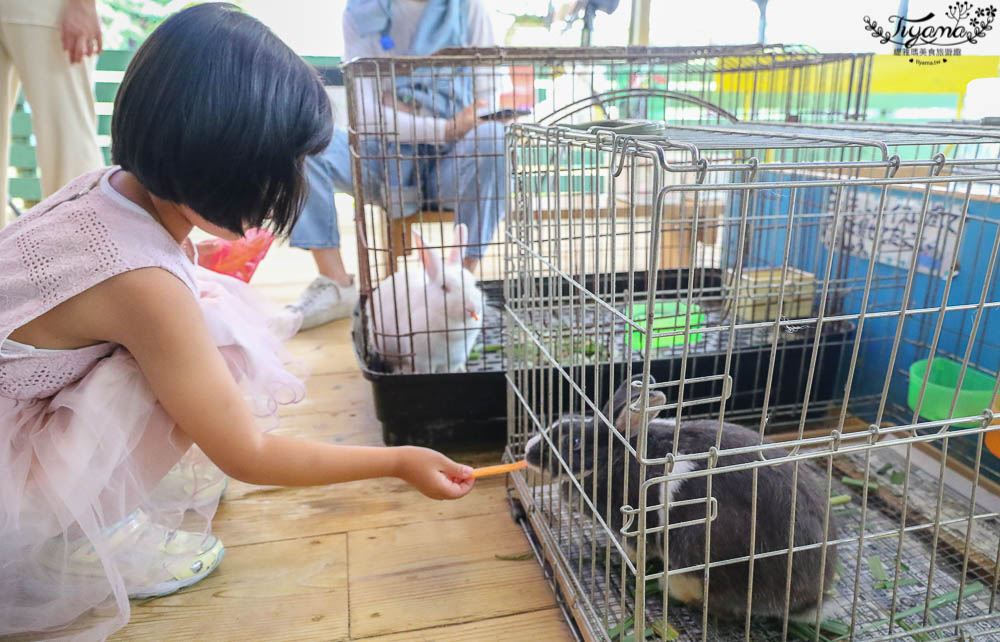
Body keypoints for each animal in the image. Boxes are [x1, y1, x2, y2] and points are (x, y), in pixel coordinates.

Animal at [528, 372, 840, 616]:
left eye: (573, 442)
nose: (528, 452)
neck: (615, 457)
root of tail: (809, 598)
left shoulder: (633, 528)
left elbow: (634, 551)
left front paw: (619, 558)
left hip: (696, 544)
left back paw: (665, 587)